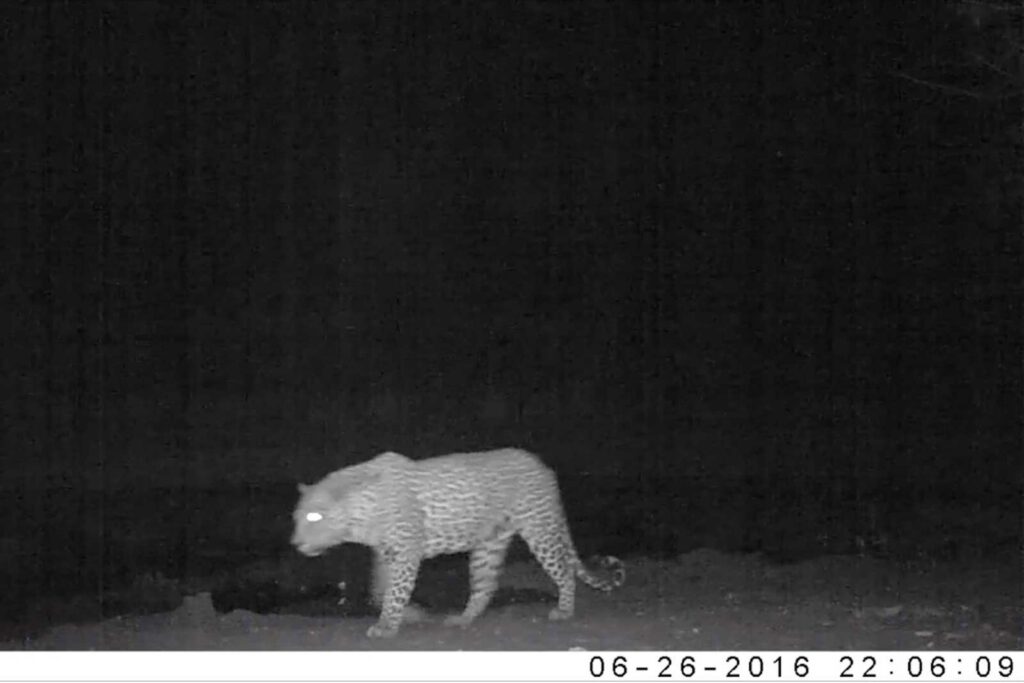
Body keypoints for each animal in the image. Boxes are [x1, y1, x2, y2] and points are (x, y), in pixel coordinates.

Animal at [291, 447, 625, 638]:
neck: (361, 513)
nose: (294, 543)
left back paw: (564, 611)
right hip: (488, 546)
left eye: (314, 517)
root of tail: (543, 466)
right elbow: (379, 590)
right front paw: (406, 615)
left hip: (540, 528)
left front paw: (387, 626)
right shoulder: (387, 554)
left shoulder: (407, 553)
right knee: (485, 586)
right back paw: (463, 619)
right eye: (298, 517)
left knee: (564, 571)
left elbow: (395, 591)